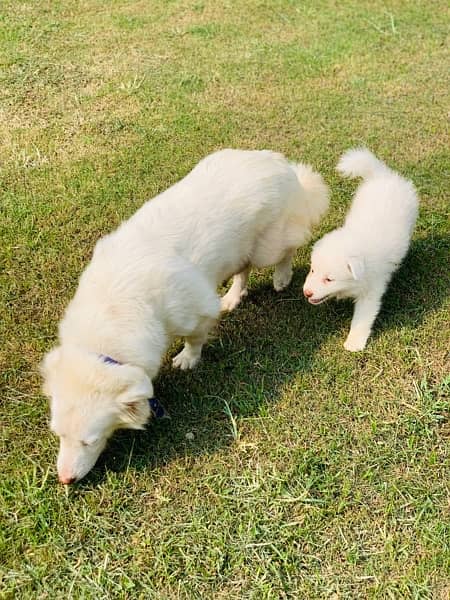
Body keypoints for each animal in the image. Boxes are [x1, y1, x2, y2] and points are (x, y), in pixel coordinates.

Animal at [42, 150, 328, 482]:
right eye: (58, 435)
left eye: (89, 441)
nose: (65, 480)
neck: (109, 311)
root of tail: (279, 161)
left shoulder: (196, 310)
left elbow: (195, 339)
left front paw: (188, 359)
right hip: (236, 251)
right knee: (243, 271)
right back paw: (233, 297)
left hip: (266, 246)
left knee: (287, 249)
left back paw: (282, 277)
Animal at [302, 148, 418, 352]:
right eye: (312, 270)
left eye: (329, 279)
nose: (306, 292)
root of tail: (383, 174)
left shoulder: (372, 290)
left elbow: (362, 318)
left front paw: (354, 343)